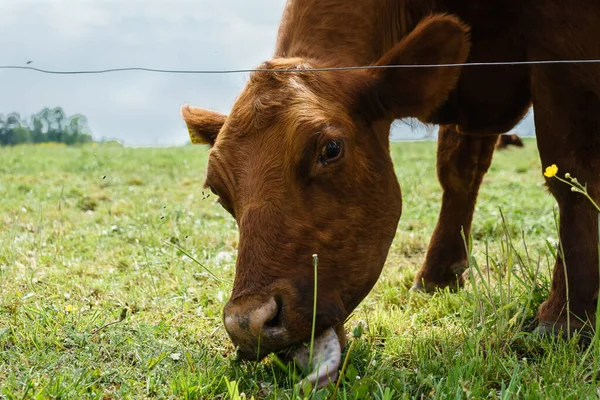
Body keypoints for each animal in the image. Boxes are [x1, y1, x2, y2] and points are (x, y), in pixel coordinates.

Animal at [182, 0, 600, 388]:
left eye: (330, 149)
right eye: (218, 191)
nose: (248, 323)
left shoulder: (566, 55)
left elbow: (572, 170)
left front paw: (567, 316)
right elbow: (458, 172)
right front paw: (438, 276)